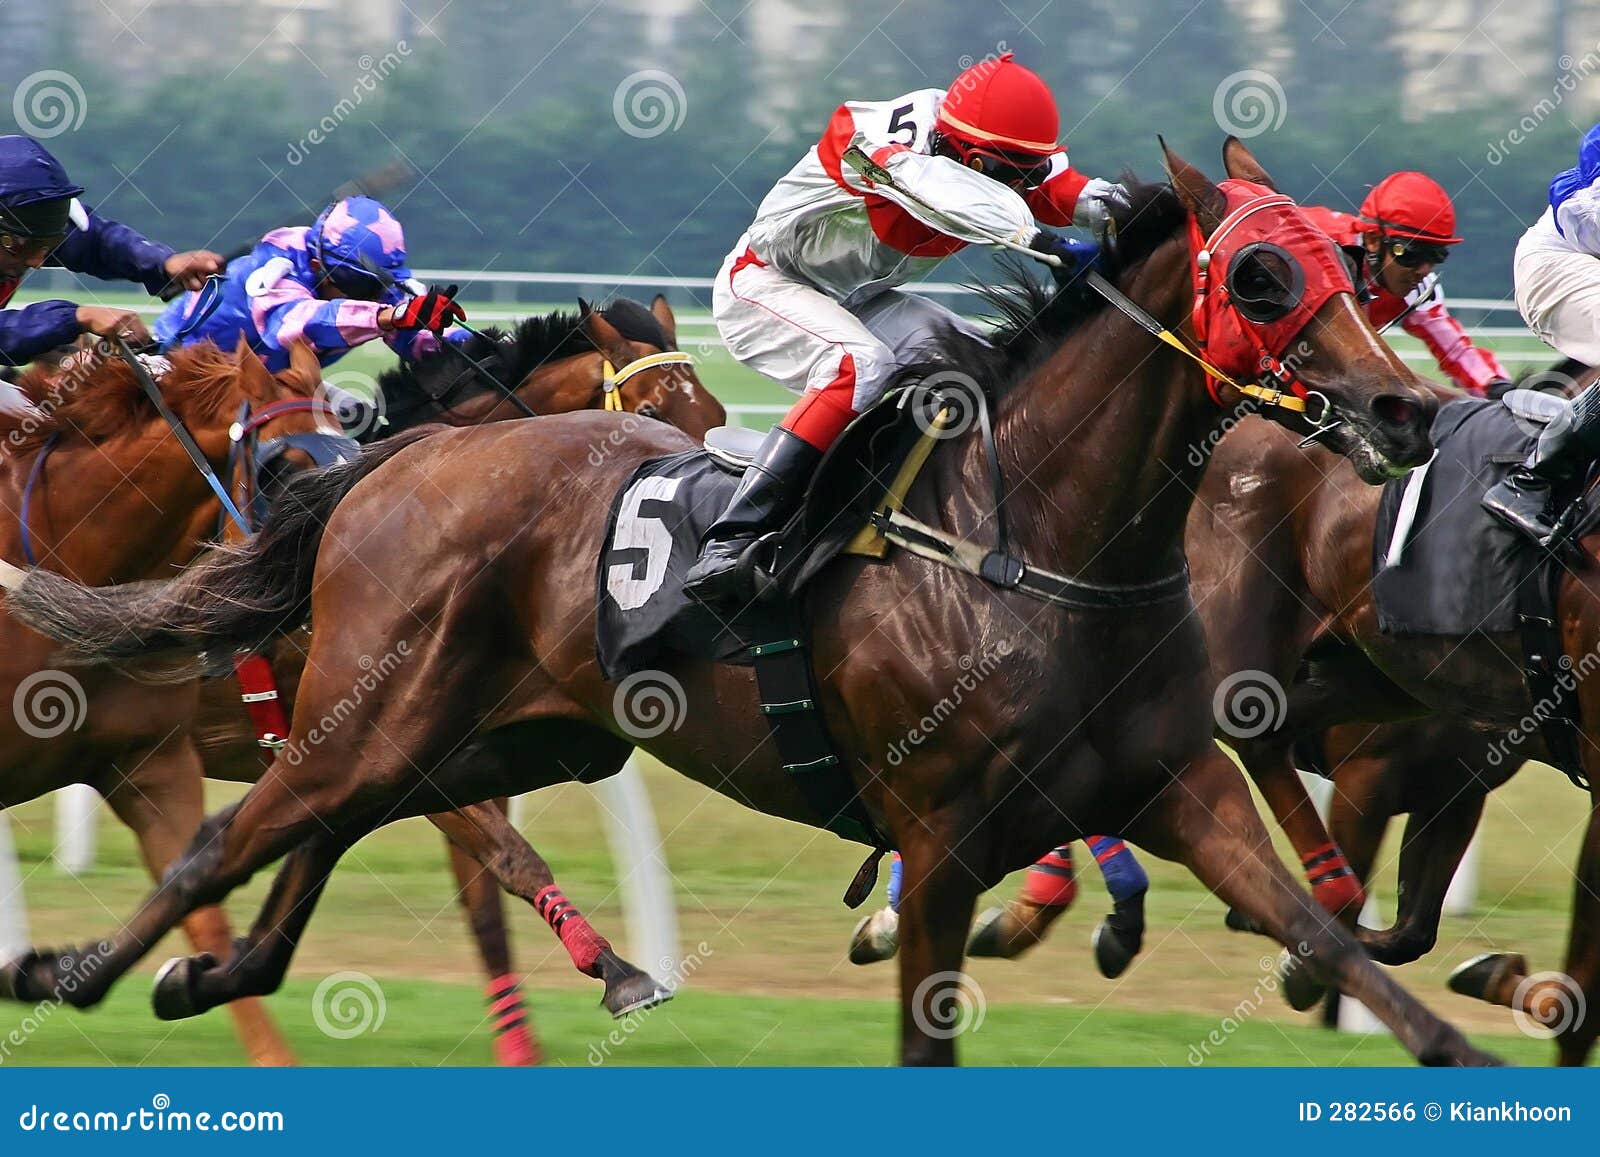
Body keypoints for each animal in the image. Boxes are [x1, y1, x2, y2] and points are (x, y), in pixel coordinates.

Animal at [0, 142, 1497, 1068]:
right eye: (1258, 274)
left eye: (1351, 265)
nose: (1400, 408)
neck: (1035, 541)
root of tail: (400, 461)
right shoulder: (940, 837)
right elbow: (925, 1023)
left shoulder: (1175, 791)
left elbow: (1328, 936)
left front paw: (1450, 1026)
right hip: (373, 711)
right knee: (233, 838)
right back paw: (76, 970)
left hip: (503, 733)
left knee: (351, 834)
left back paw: (209, 972)